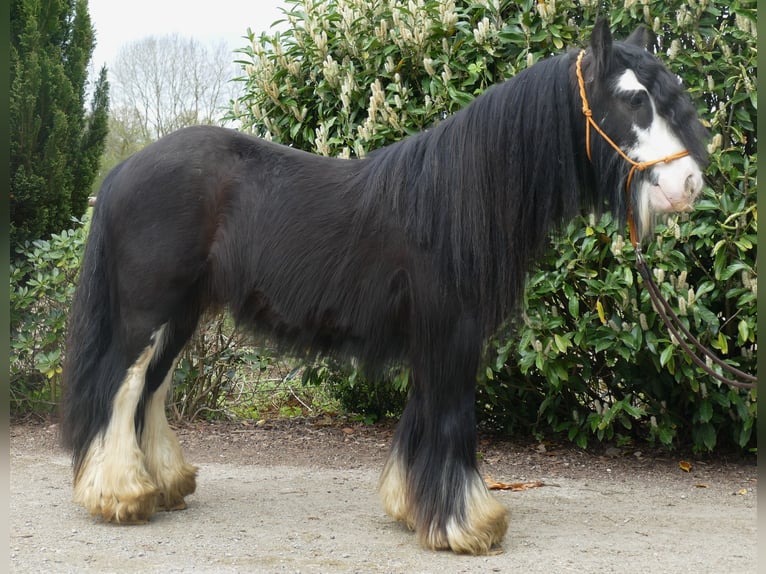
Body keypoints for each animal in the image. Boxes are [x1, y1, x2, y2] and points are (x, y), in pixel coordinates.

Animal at [60, 20, 708, 556]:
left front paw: (410, 507)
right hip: (147, 312)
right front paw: (468, 525)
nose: (690, 184)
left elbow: (422, 416)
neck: (460, 197)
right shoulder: (451, 331)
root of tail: (124, 170)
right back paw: (121, 495)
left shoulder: (435, 334)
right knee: (122, 386)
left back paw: (163, 483)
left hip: (182, 313)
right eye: (634, 98)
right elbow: (450, 420)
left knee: (152, 388)